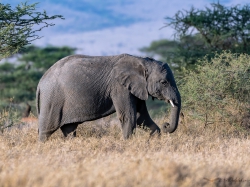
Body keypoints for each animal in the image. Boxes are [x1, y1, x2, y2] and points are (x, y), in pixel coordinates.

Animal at [36, 54, 181, 142]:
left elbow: (141, 117)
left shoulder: (136, 88)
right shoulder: (119, 87)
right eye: (164, 82)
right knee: (46, 130)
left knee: (69, 129)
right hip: (52, 99)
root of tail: (40, 83)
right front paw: (128, 144)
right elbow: (129, 116)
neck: (142, 61)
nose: (166, 125)